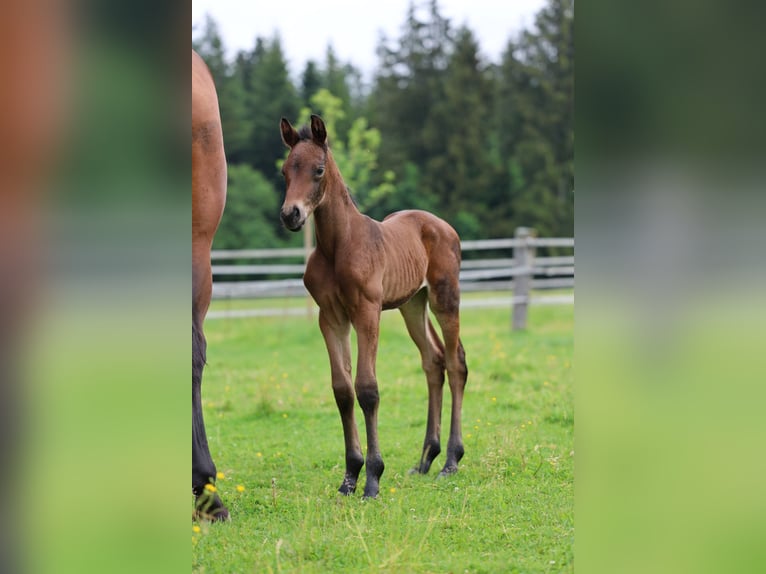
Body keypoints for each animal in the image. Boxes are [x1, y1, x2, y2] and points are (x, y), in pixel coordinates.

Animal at [278, 115, 464, 498]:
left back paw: (451, 461)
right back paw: (426, 459)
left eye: (318, 170)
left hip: (445, 297)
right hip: (413, 305)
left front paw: (373, 478)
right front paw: (350, 475)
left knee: (455, 364)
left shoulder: (366, 311)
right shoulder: (331, 317)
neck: (338, 246)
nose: (291, 215)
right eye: (285, 171)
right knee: (433, 361)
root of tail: (442, 225)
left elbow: (367, 388)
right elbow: (342, 390)